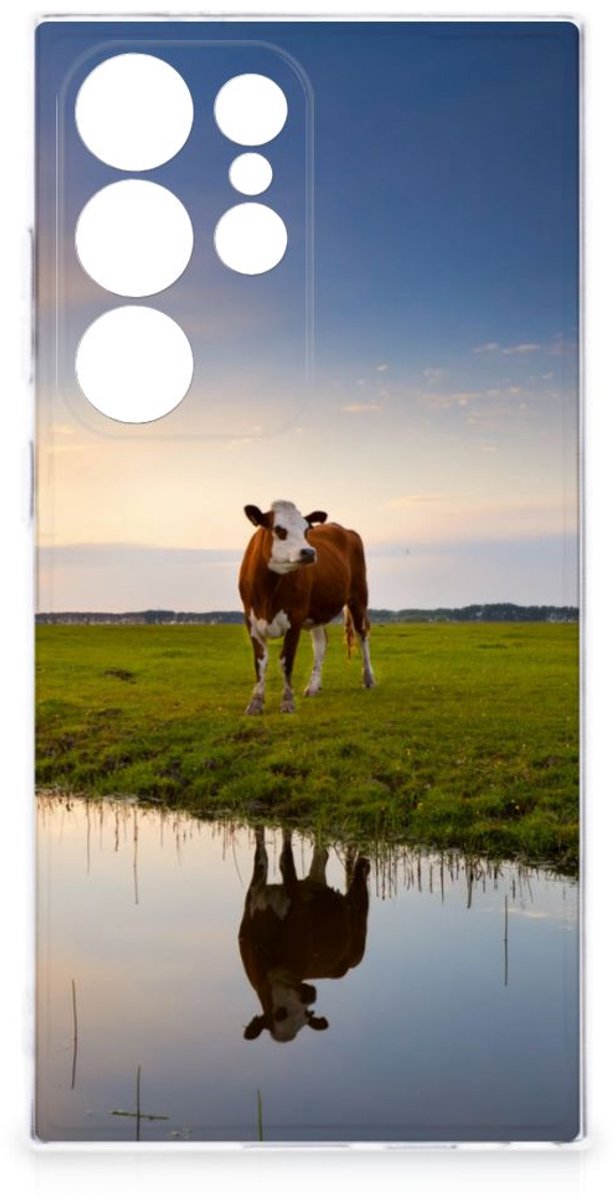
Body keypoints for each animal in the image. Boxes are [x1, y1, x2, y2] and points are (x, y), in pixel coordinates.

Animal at [238, 500, 375, 715]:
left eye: (306, 530)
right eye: (279, 530)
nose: (309, 552)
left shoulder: (294, 619)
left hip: (358, 597)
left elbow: (286, 660)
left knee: (362, 634)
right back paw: (313, 686)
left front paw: (287, 701)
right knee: (321, 643)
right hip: (317, 612)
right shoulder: (251, 621)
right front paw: (256, 702)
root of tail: (344, 529)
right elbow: (260, 662)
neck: (267, 591)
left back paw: (368, 678)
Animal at [238, 828, 370, 1042]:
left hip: (358, 929)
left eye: (306, 1015)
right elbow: (261, 854)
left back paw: (363, 863)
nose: (310, 995)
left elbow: (285, 859)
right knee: (322, 854)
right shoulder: (254, 895)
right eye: (279, 1014)